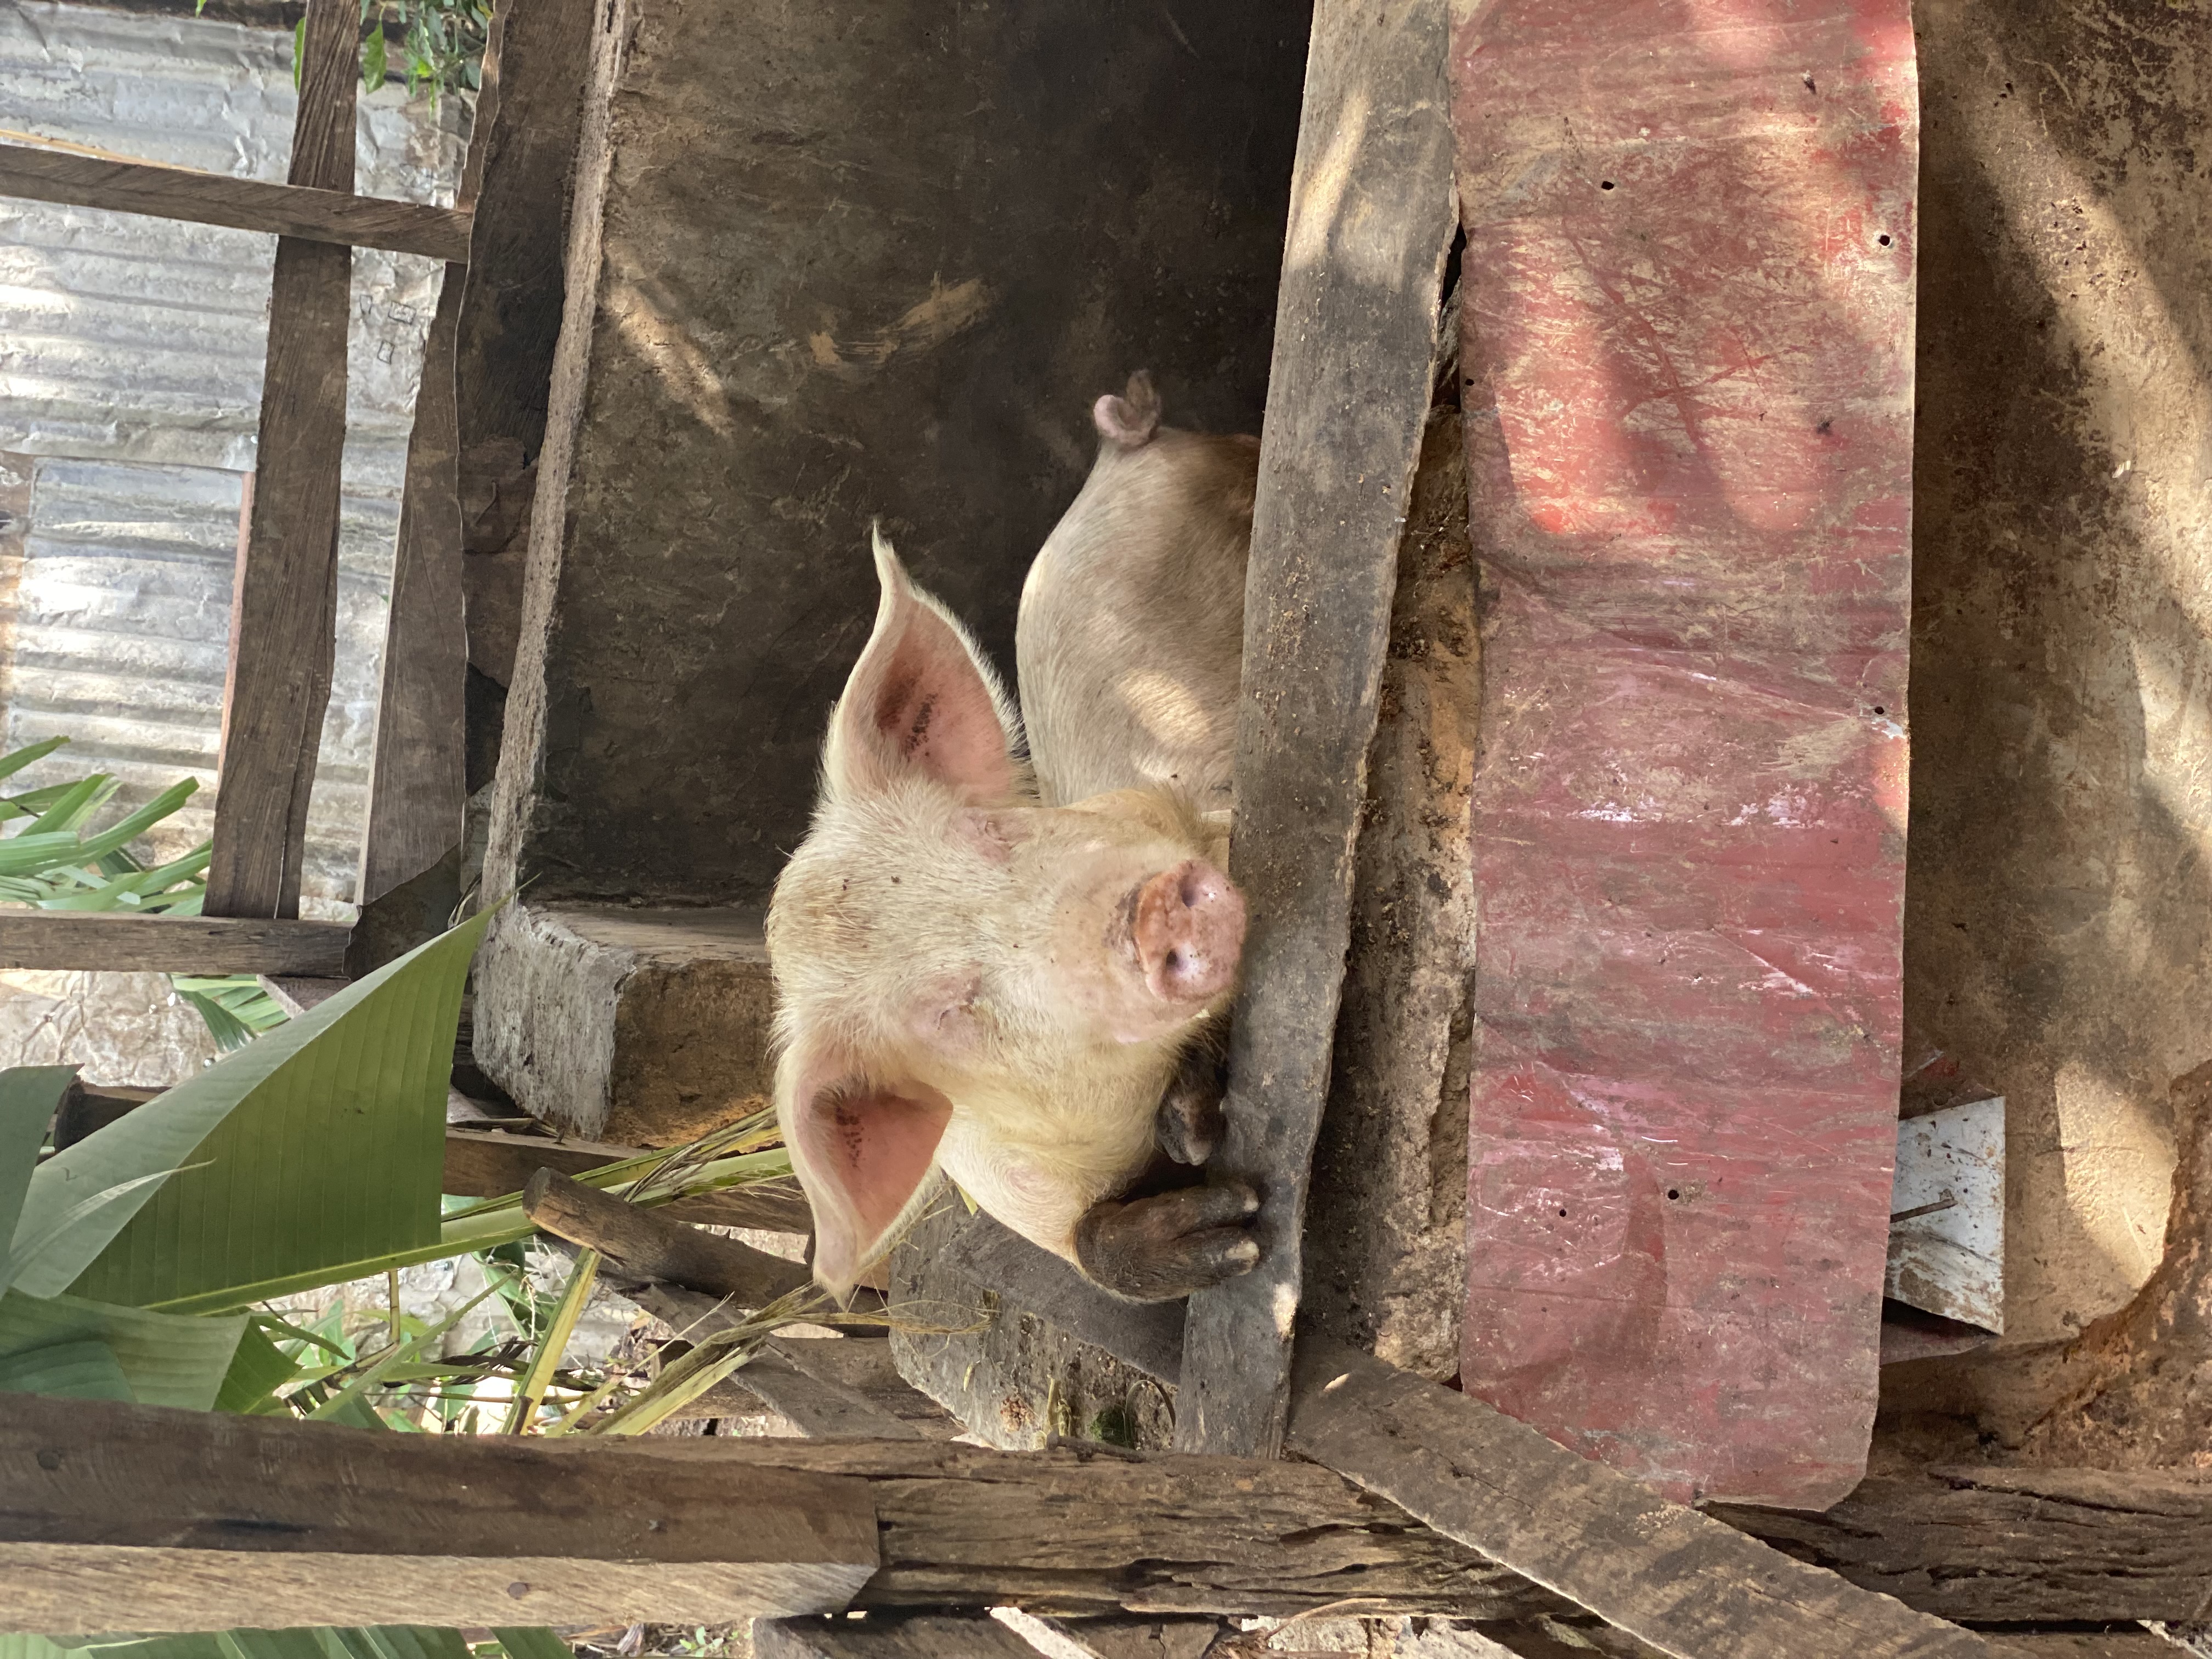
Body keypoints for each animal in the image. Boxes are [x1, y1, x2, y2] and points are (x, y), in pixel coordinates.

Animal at [767, 371, 1263, 1303]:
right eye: (949, 1015)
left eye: (992, 828)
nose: (1156, 912)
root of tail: (1124, 452)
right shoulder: (1013, 1191)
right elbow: (1088, 1249)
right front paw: (1229, 1227)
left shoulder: (1172, 814)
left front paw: (1197, 1133)